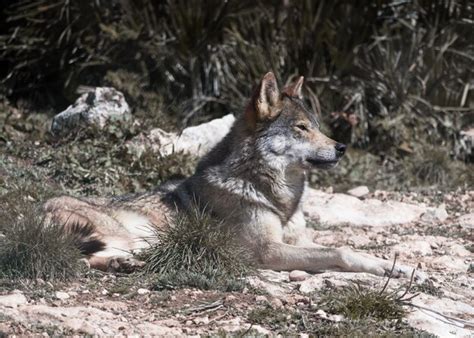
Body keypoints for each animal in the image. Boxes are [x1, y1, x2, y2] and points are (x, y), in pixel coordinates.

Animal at [45, 72, 426, 280]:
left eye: (316, 126)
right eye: (302, 128)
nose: (342, 147)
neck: (276, 196)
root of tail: (37, 213)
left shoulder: (296, 239)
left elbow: (348, 247)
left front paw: (402, 268)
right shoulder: (268, 252)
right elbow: (340, 251)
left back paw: (121, 265)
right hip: (122, 234)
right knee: (73, 257)